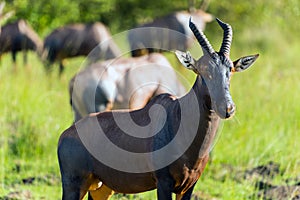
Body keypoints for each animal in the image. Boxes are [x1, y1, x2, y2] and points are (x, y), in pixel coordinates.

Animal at [58, 18, 258, 199]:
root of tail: (65, 135)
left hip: (101, 188)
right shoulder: (164, 182)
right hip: (74, 186)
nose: (227, 108)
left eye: (230, 69)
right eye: (203, 69)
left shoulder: (189, 186)